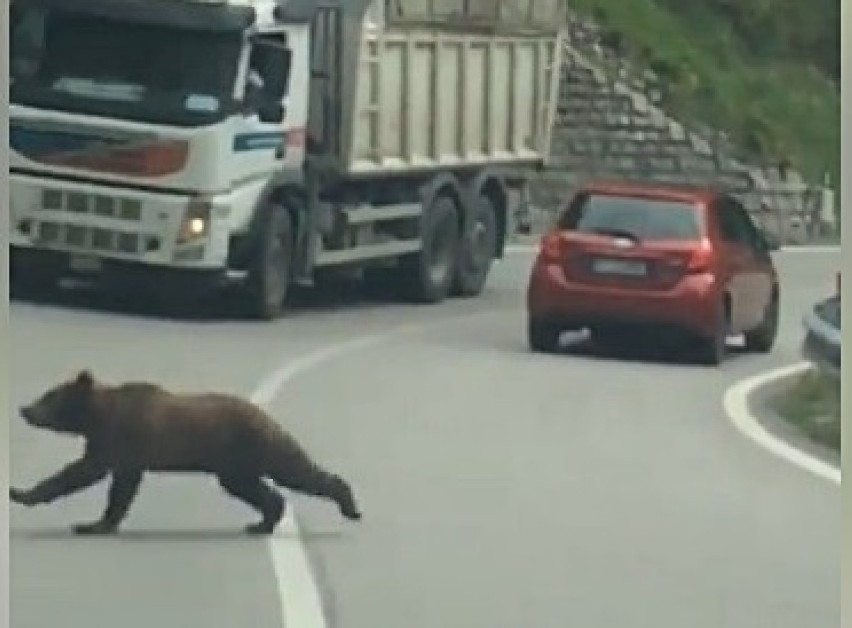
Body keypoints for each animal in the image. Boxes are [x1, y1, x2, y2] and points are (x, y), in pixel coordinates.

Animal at [10, 370, 362, 536]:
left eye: (48, 397)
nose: (24, 409)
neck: (98, 417)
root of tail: (267, 416)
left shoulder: (119, 440)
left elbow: (85, 472)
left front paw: (21, 493)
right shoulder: (127, 453)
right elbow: (122, 487)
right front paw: (98, 523)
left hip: (252, 446)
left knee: (295, 471)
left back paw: (349, 504)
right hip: (234, 464)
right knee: (253, 488)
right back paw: (261, 523)